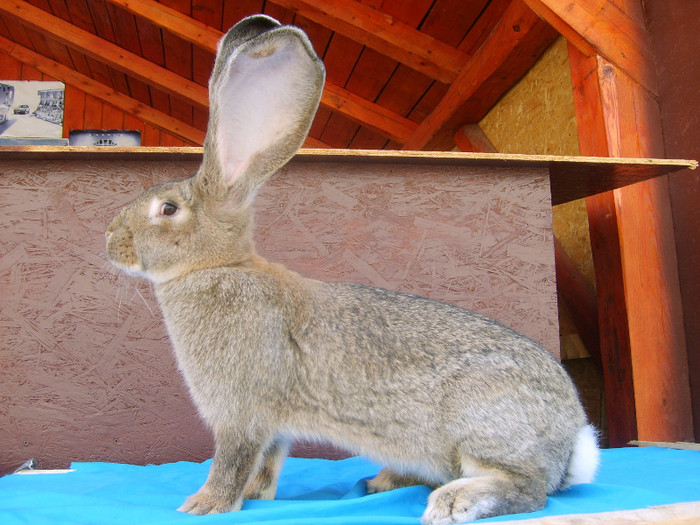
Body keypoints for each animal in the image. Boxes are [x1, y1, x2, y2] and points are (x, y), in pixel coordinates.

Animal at [106, 14, 600, 524]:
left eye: (167, 209)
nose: (110, 240)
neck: (217, 265)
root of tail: (572, 444)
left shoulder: (241, 414)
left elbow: (233, 460)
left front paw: (203, 505)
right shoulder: (273, 427)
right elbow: (268, 462)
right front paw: (257, 497)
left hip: (482, 422)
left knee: (529, 489)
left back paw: (453, 501)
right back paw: (384, 482)